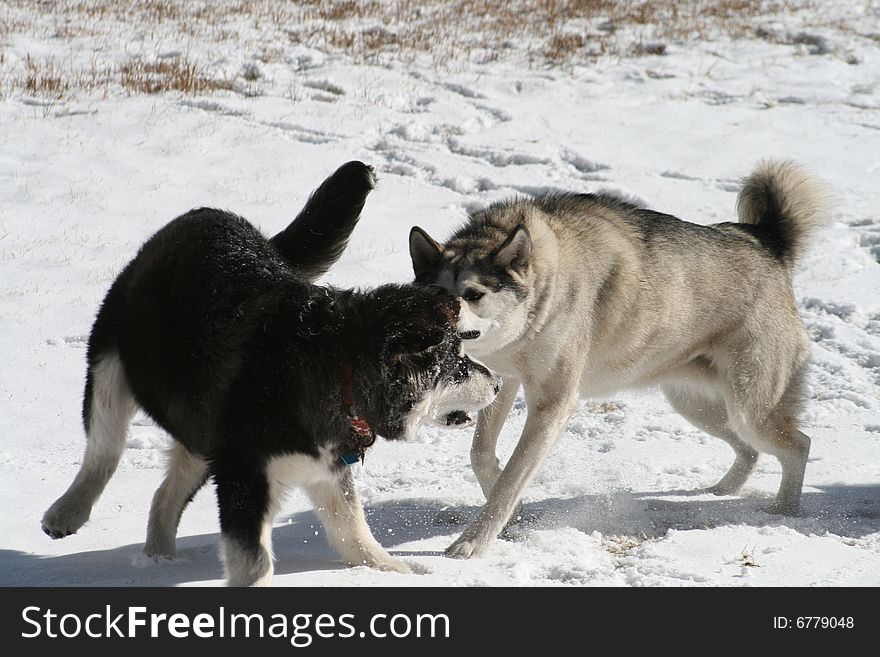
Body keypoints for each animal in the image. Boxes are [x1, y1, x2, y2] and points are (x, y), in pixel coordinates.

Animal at [44, 163, 498, 584]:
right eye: (457, 362)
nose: (496, 382)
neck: (338, 369)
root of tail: (212, 215)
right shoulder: (245, 473)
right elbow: (255, 559)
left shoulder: (324, 467)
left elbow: (354, 532)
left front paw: (398, 572)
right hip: (110, 367)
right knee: (104, 450)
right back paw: (67, 513)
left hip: (202, 428)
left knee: (165, 492)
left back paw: (159, 560)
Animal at [410, 160, 828, 560]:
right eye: (435, 295)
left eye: (473, 295)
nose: (434, 326)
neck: (545, 291)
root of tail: (765, 240)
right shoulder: (504, 380)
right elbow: (481, 456)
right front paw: (511, 505)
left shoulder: (553, 403)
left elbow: (510, 482)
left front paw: (473, 542)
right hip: (696, 405)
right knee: (750, 450)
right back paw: (721, 490)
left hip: (750, 408)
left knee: (798, 445)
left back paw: (783, 511)